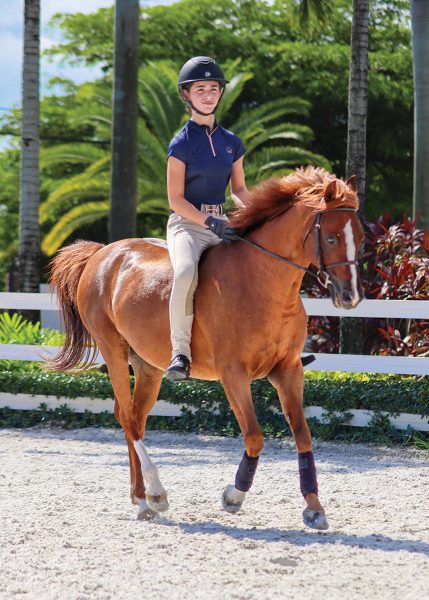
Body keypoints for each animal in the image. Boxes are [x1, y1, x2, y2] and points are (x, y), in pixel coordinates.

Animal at [47, 168, 362, 528]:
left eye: (360, 236)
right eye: (332, 238)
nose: (350, 297)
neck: (262, 283)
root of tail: (102, 253)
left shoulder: (288, 370)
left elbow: (302, 434)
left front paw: (313, 507)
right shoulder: (233, 374)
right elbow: (254, 436)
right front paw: (233, 496)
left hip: (148, 366)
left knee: (134, 417)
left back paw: (141, 498)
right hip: (113, 350)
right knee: (127, 416)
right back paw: (154, 495)